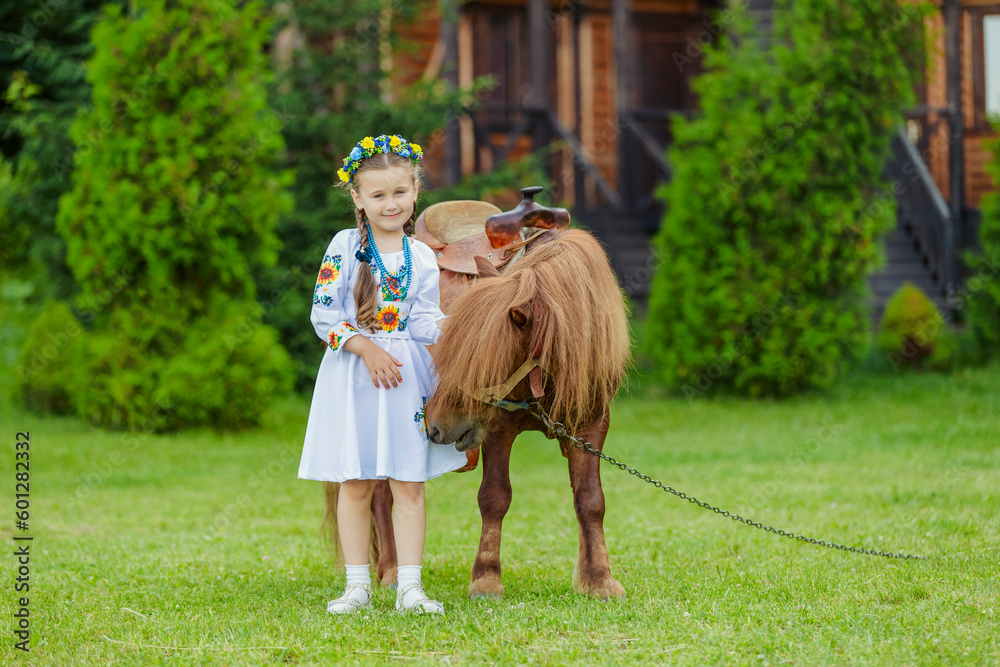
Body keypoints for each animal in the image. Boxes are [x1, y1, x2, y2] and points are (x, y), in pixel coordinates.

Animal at [322, 227, 631, 599]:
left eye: (482, 365)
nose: (434, 425)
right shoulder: (497, 429)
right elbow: (495, 497)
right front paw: (486, 579)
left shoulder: (591, 427)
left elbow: (590, 500)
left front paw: (598, 579)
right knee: (381, 495)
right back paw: (392, 570)